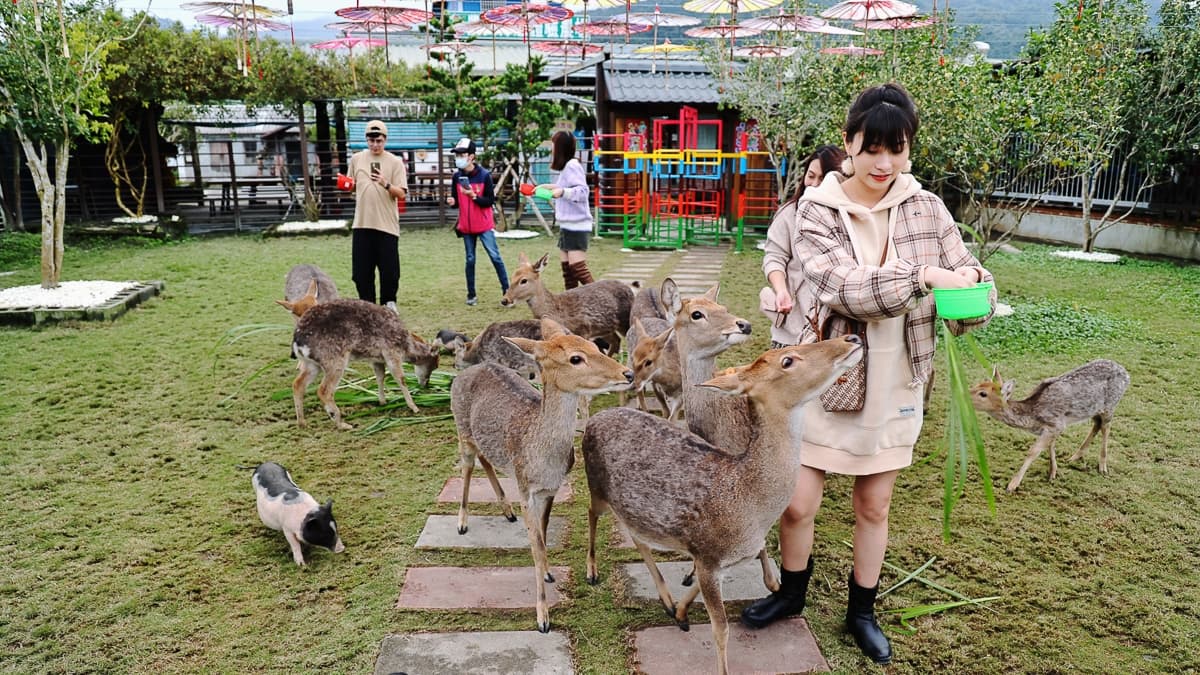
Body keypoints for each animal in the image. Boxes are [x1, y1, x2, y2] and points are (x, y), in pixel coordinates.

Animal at [291, 299, 439, 430]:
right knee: (324, 390)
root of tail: (298, 343)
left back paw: (302, 423)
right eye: (434, 365)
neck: (406, 346)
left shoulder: (377, 359)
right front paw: (414, 407)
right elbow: (400, 378)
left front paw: (382, 401)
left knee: (298, 384)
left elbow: (380, 376)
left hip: (310, 364)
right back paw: (342, 424)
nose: (426, 384)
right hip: (334, 360)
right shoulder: (392, 352)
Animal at [451, 317, 633, 634]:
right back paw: (462, 523)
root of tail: (465, 372)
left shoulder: (552, 489)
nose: (628, 372)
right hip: (461, 429)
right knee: (468, 466)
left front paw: (549, 573)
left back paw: (506, 511)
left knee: (485, 459)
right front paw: (543, 617)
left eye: (594, 344)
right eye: (575, 358)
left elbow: (545, 532)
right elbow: (534, 545)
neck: (544, 458)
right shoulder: (526, 489)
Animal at [500, 252, 633, 358]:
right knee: (616, 341)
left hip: (625, 320)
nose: (505, 300)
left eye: (523, 280)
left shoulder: (583, 331)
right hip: (605, 328)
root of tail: (630, 289)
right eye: (511, 277)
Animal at [582, 337, 863, 675]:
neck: (750, 507)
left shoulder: (719, 557)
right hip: (596, 485)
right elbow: (721, 629)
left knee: (637, 536)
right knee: (592, 513)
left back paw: (666, 600)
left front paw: (681, 611)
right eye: (788, 360)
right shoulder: (708, 553)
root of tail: (593, 420)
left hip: (632, 507)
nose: (852, 338)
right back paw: (592, 571)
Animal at [970, 359, 1130, 493]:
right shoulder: (1051, 428)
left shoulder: (1056, 424)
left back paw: (1102, 467)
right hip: (1094, 409)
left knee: (1106, 427)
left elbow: (1033, 451)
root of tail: (1127, 375)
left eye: (983, 394)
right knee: (1097, 424)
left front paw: (1012, 485)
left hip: (1110, 405)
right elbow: (1051, 446)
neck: (1032, 418)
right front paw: (1052, 472)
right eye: (976, 385)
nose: (965, 394)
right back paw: (1074, 457)